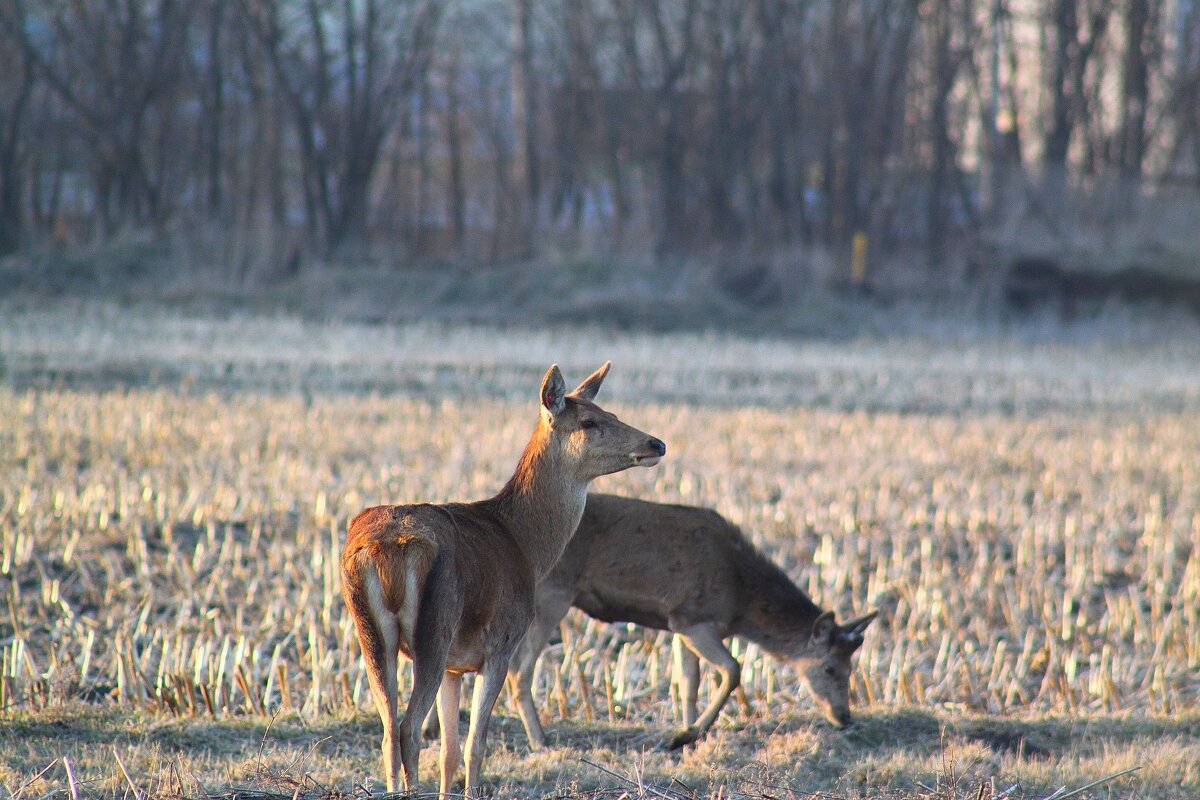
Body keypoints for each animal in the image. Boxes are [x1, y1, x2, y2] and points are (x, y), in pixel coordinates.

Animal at [340, 367, 667, 796]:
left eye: (610, 412)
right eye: (588, 421)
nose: (656, 442)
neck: (524, 545)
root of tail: (387, 549)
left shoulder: (455, 665)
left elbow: (449, 751)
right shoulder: (500, 643)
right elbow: (474, 745)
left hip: (370, 630)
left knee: (387, 730)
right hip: (435, 627)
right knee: (408, 728)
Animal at [501, 494, 878, 753]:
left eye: (853, 669)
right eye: (829, 667)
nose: (845, 717)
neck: (740, 599)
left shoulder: (678, 625)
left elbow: (688, 683)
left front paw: (684, 735)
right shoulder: (693, 617)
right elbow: (733, 669)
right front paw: (684, 735)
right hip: (553, 592)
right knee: (520, 669)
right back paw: (540, 742)